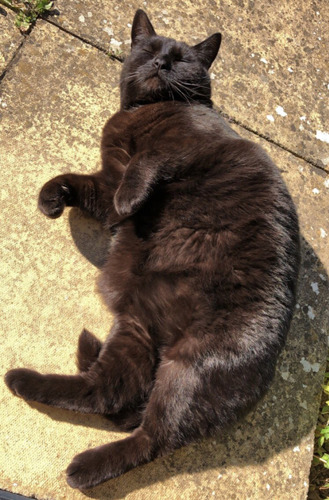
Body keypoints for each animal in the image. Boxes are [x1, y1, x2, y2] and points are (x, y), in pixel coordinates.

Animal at [5, 9, 298, 490]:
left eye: (181, 59)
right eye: (149, 49)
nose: (161, 63)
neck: (143, 111)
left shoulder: (184, 149)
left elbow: (146, 164)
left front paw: (129, 200)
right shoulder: (108, 178)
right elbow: (82, 183)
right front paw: (51, 198)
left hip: (188, 370)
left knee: (151, 439)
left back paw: (83, 468)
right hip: (137, 330)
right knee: (106, 393)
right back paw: (24, 382)